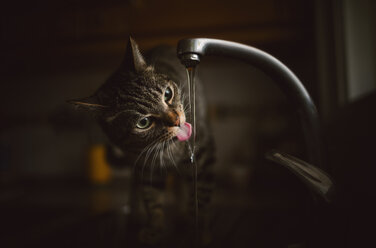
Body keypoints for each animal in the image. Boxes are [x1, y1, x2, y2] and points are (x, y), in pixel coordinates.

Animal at [68, 37, 213, 247]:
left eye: (167, 94)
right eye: (143, 123)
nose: (177, 121)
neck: (166, 149)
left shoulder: (203, 153)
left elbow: (200, 195)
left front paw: (198, 230)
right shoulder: (146, 168)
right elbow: (152, 201)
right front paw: (155, 229)